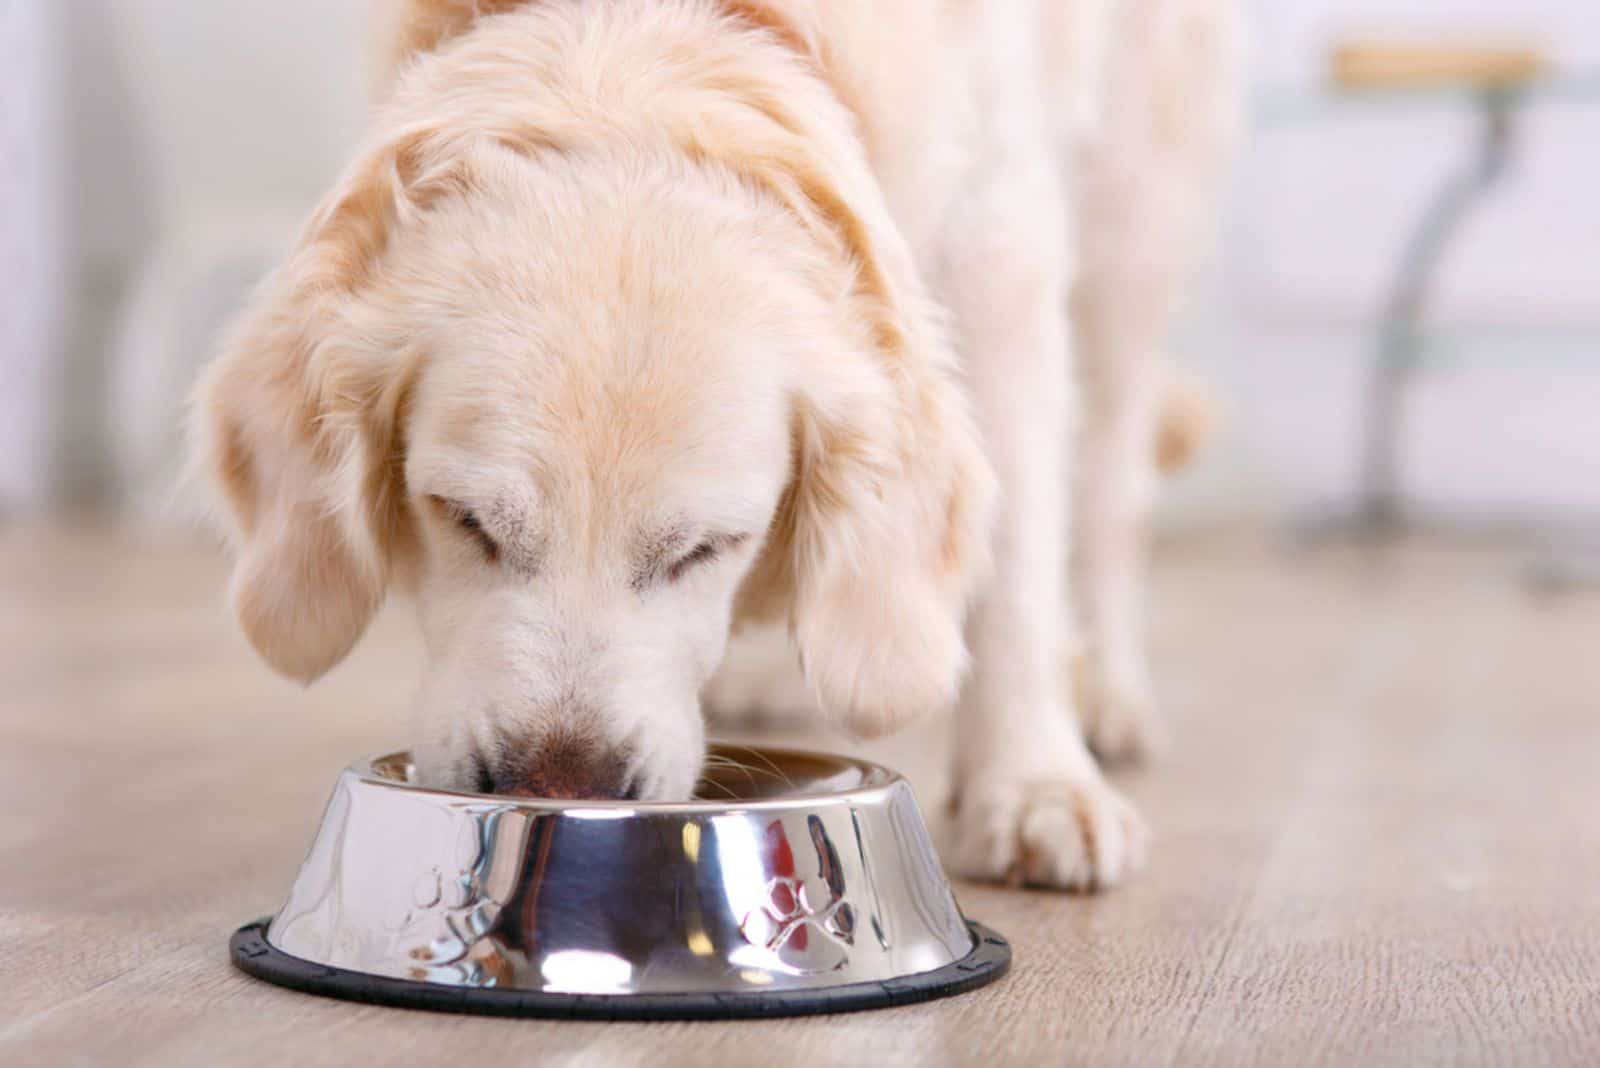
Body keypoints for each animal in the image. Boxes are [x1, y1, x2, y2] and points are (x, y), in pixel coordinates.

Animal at [196, 0, 1235, 888]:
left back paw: (1106, 697)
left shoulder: (999, 247)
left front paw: (1033, 785)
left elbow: (1016, 559)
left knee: (1110, 485)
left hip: (1135, 218)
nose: (561, 790)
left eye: (707, 548)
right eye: (464, 521)